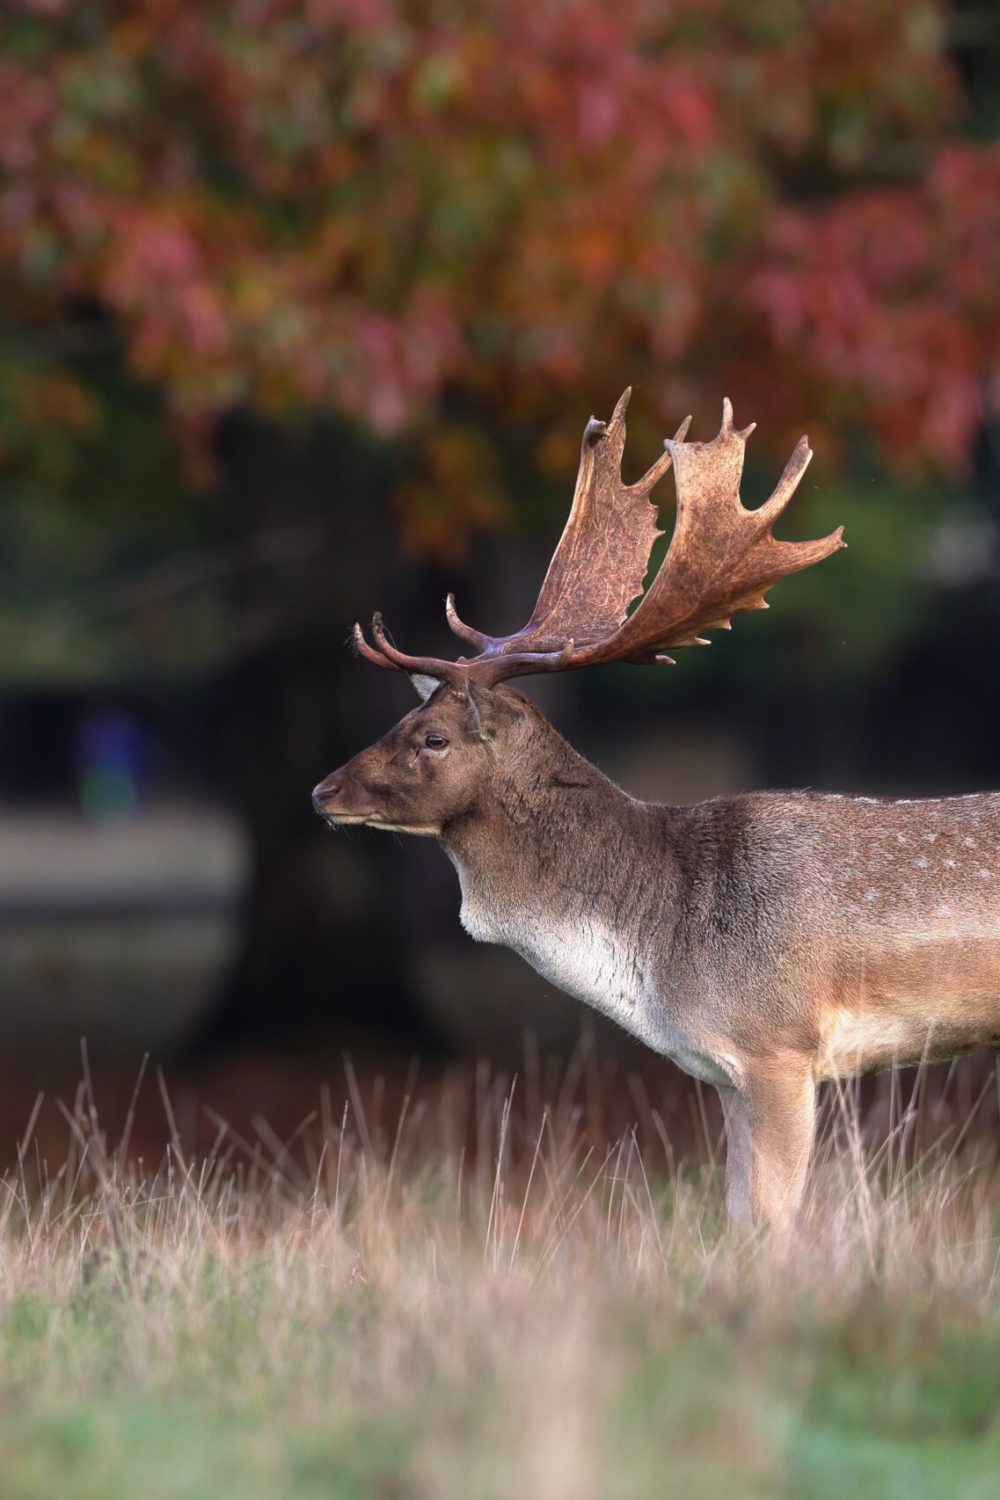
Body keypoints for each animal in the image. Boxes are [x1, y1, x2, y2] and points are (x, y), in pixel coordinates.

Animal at [312, 391, 1000, 1230]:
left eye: (433, 737)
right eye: (404, 719)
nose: (323, 791)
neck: (660, 953)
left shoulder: (780, 1044)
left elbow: (773, 1223)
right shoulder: (726, 1073)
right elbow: (735, 1217)